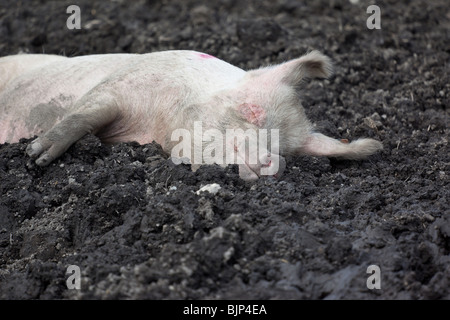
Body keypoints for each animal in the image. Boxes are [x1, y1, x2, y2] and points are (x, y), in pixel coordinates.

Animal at [0, 50, 384, 180]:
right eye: (251, 112)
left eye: (288, 149)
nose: (276, 162)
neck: (155, 127)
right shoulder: (121, 84)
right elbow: (86, 113)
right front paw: (34, 158)